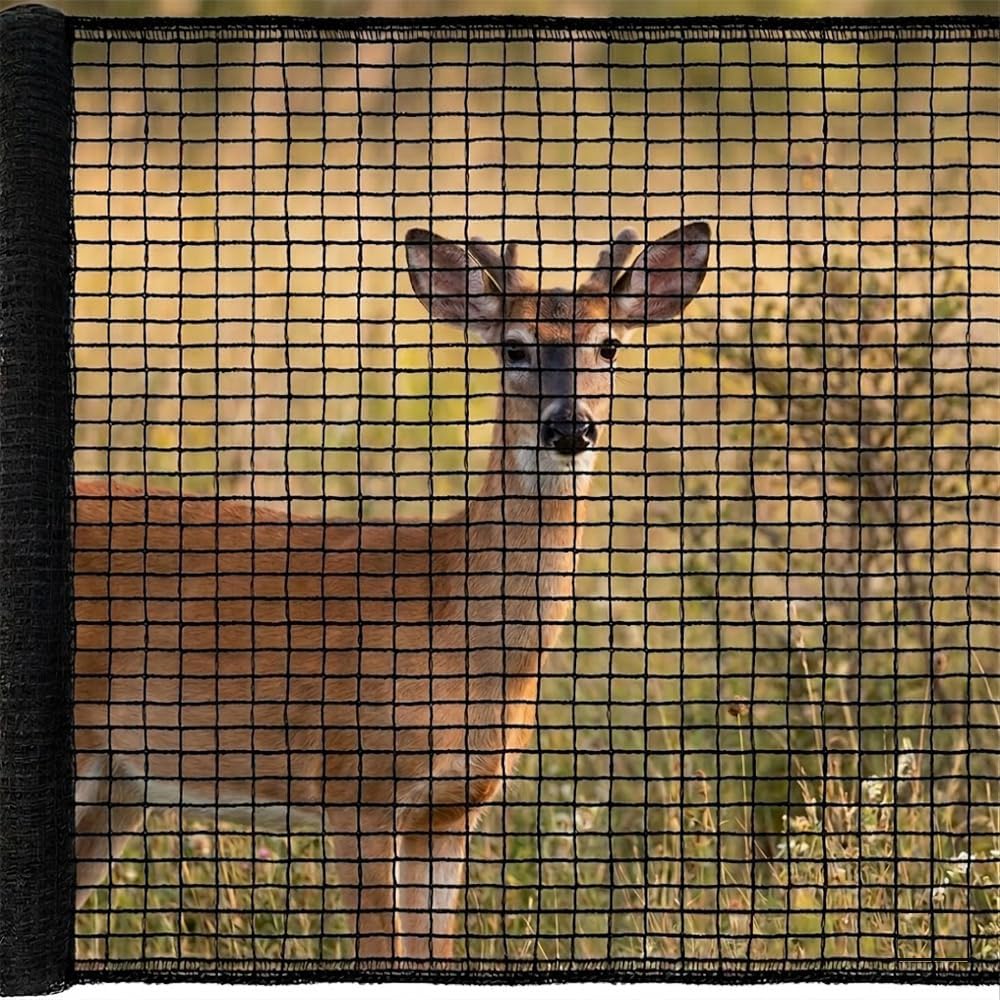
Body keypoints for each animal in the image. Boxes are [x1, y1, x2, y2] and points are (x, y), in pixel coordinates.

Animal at [73, 221, 710, 963]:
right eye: (514, 347)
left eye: (609, 345)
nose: (569, 426)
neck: (457, 639)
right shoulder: (357, 784)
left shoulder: (453, 806)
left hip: (120, 783)